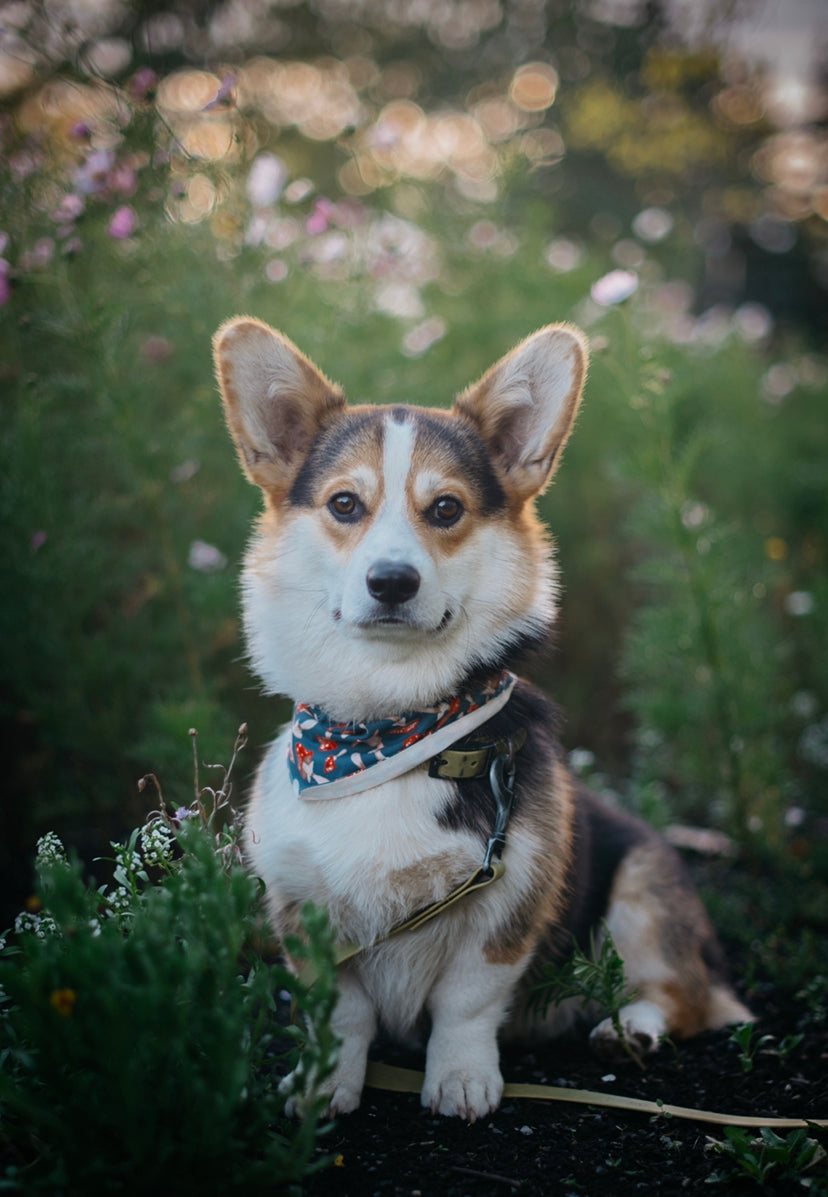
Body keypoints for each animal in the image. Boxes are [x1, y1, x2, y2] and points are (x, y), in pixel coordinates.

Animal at [212, 318, 751, 1120]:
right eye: (344, 505)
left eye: (445, 509)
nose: (392, 581)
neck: (384, 732)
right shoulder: (305, 915)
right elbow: (342, 1015)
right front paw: (324, 1085)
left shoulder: (506, 903)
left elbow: (466, 1004)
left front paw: (461, 1081)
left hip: (641, 891)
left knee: (684, 995)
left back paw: (632, 1028)